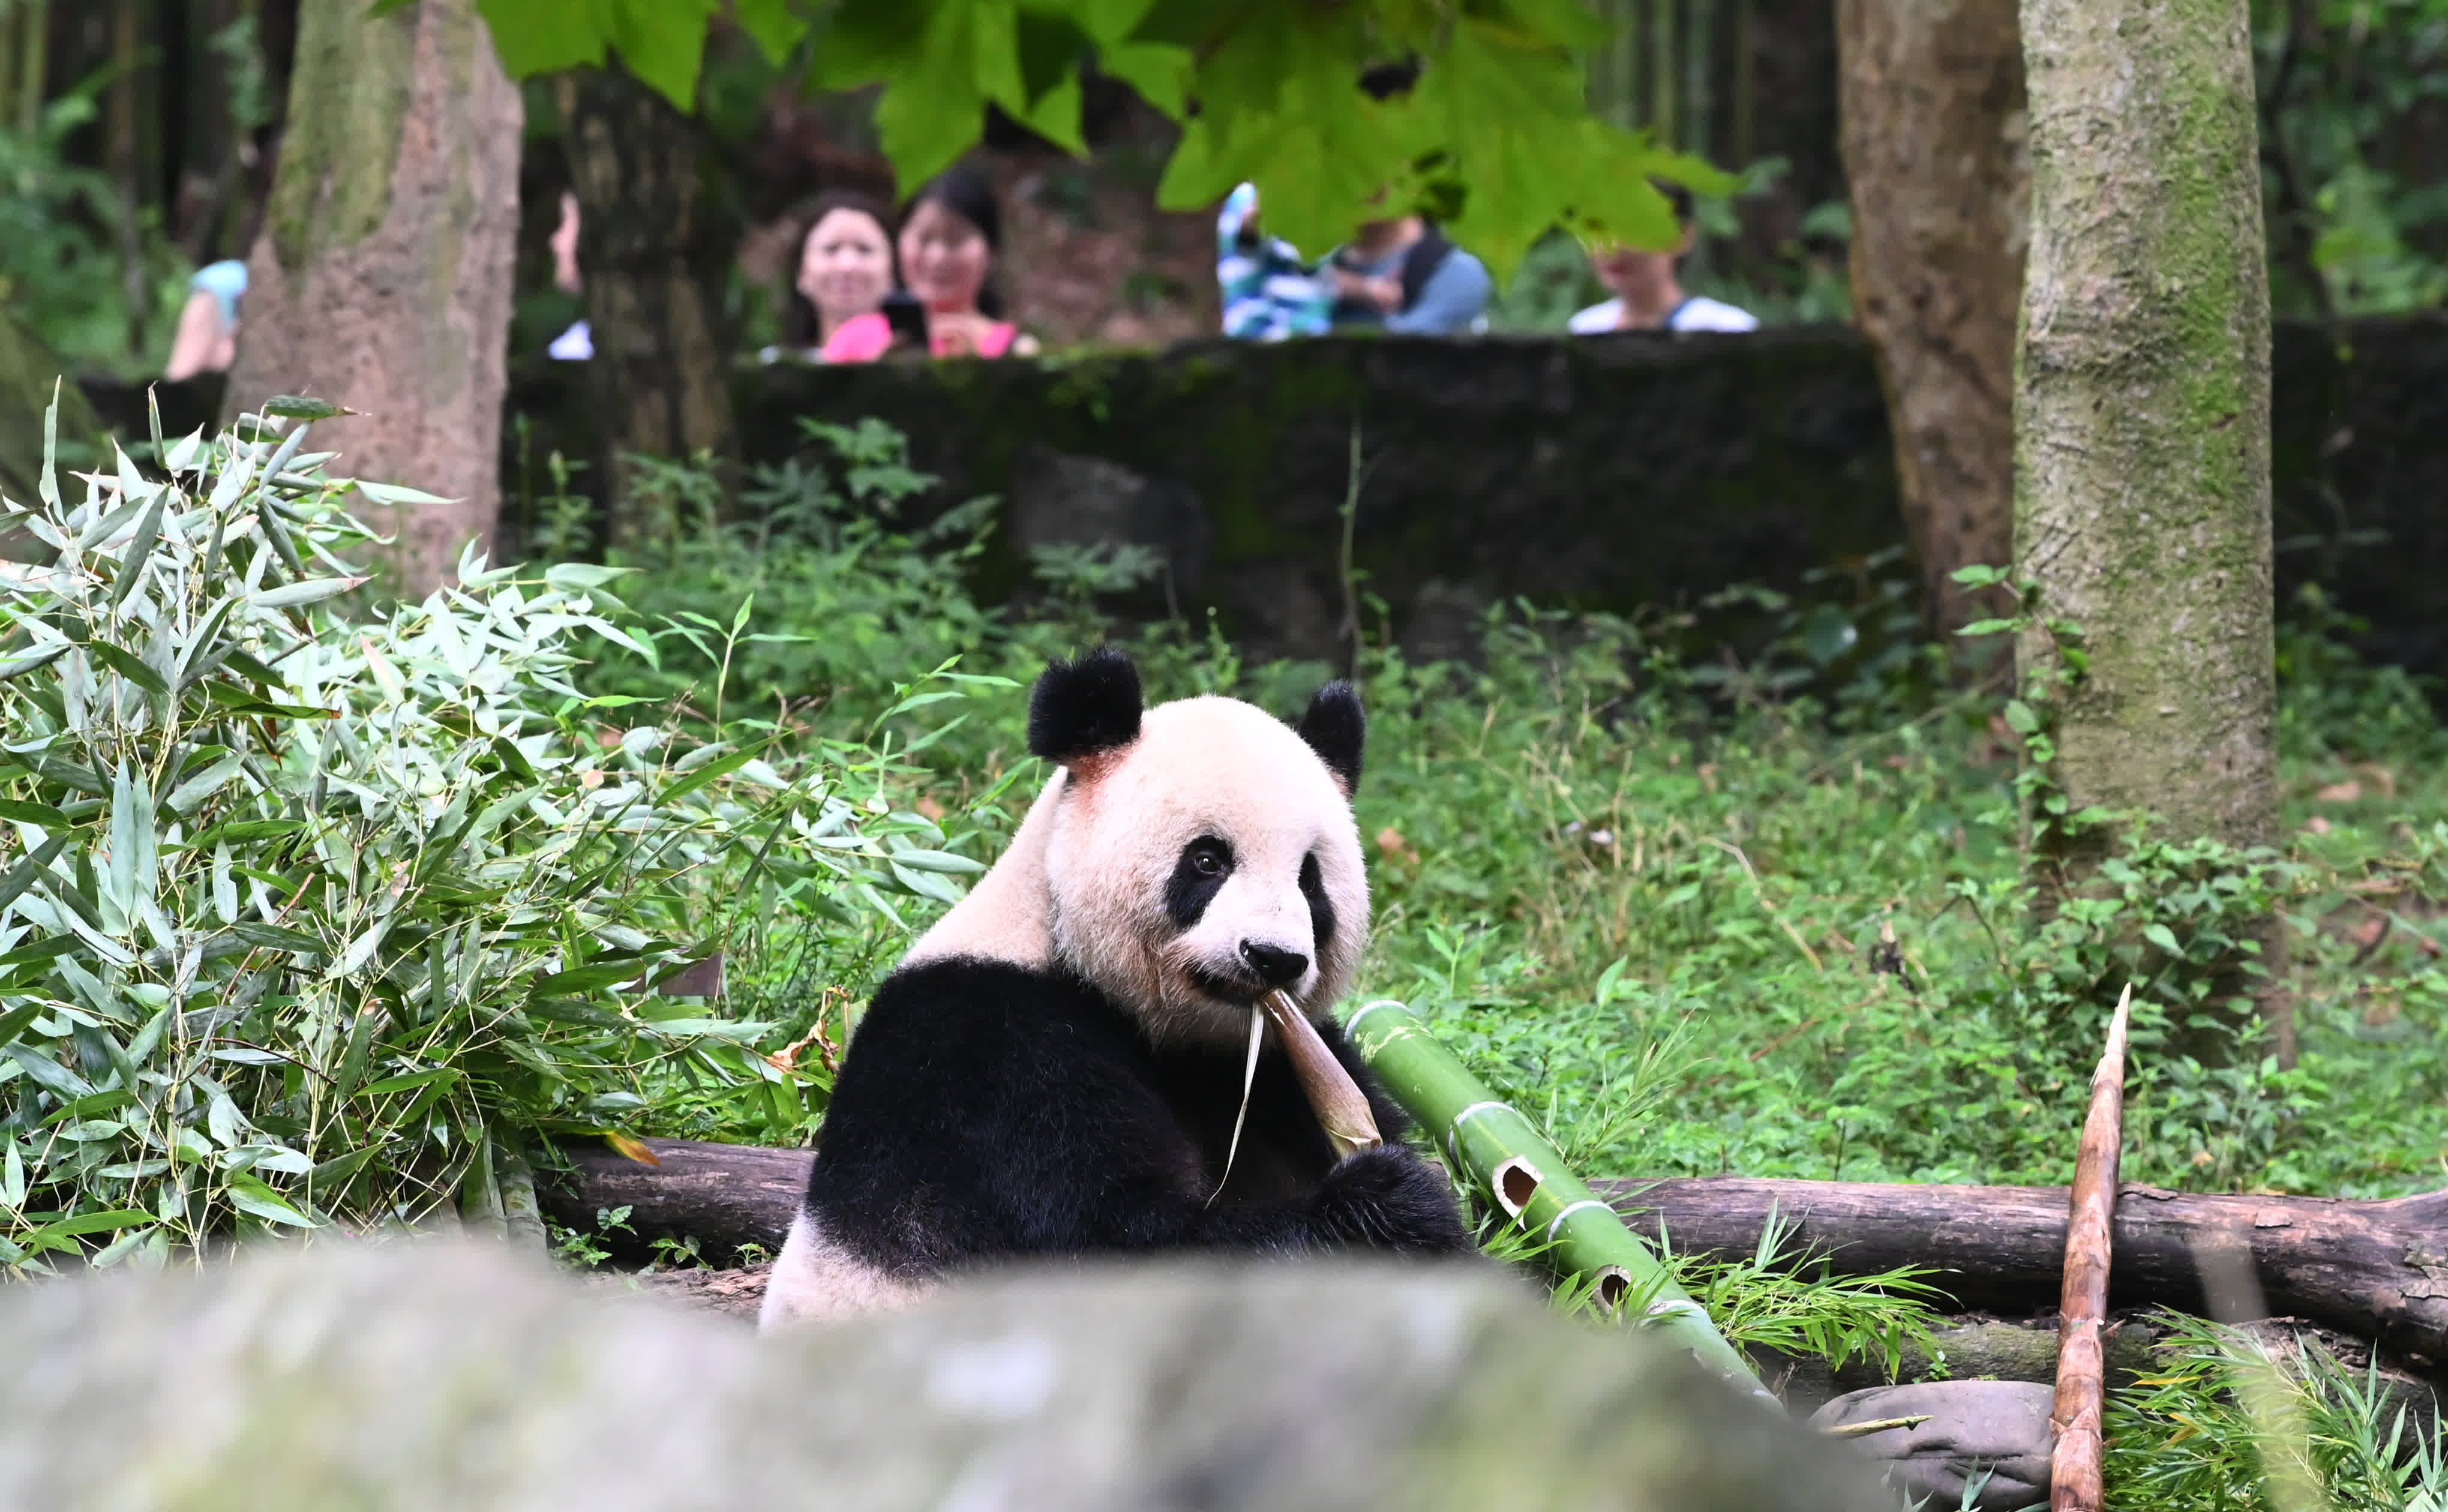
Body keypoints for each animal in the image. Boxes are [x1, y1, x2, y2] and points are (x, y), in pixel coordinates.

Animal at [754, 641, 1459, 1321]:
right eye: (1208, 860)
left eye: (1310, 881)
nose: (1273, 958)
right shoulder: (996, 1060)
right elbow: (1115, 1249)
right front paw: (1387, 1205)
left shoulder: (1287, 1064)